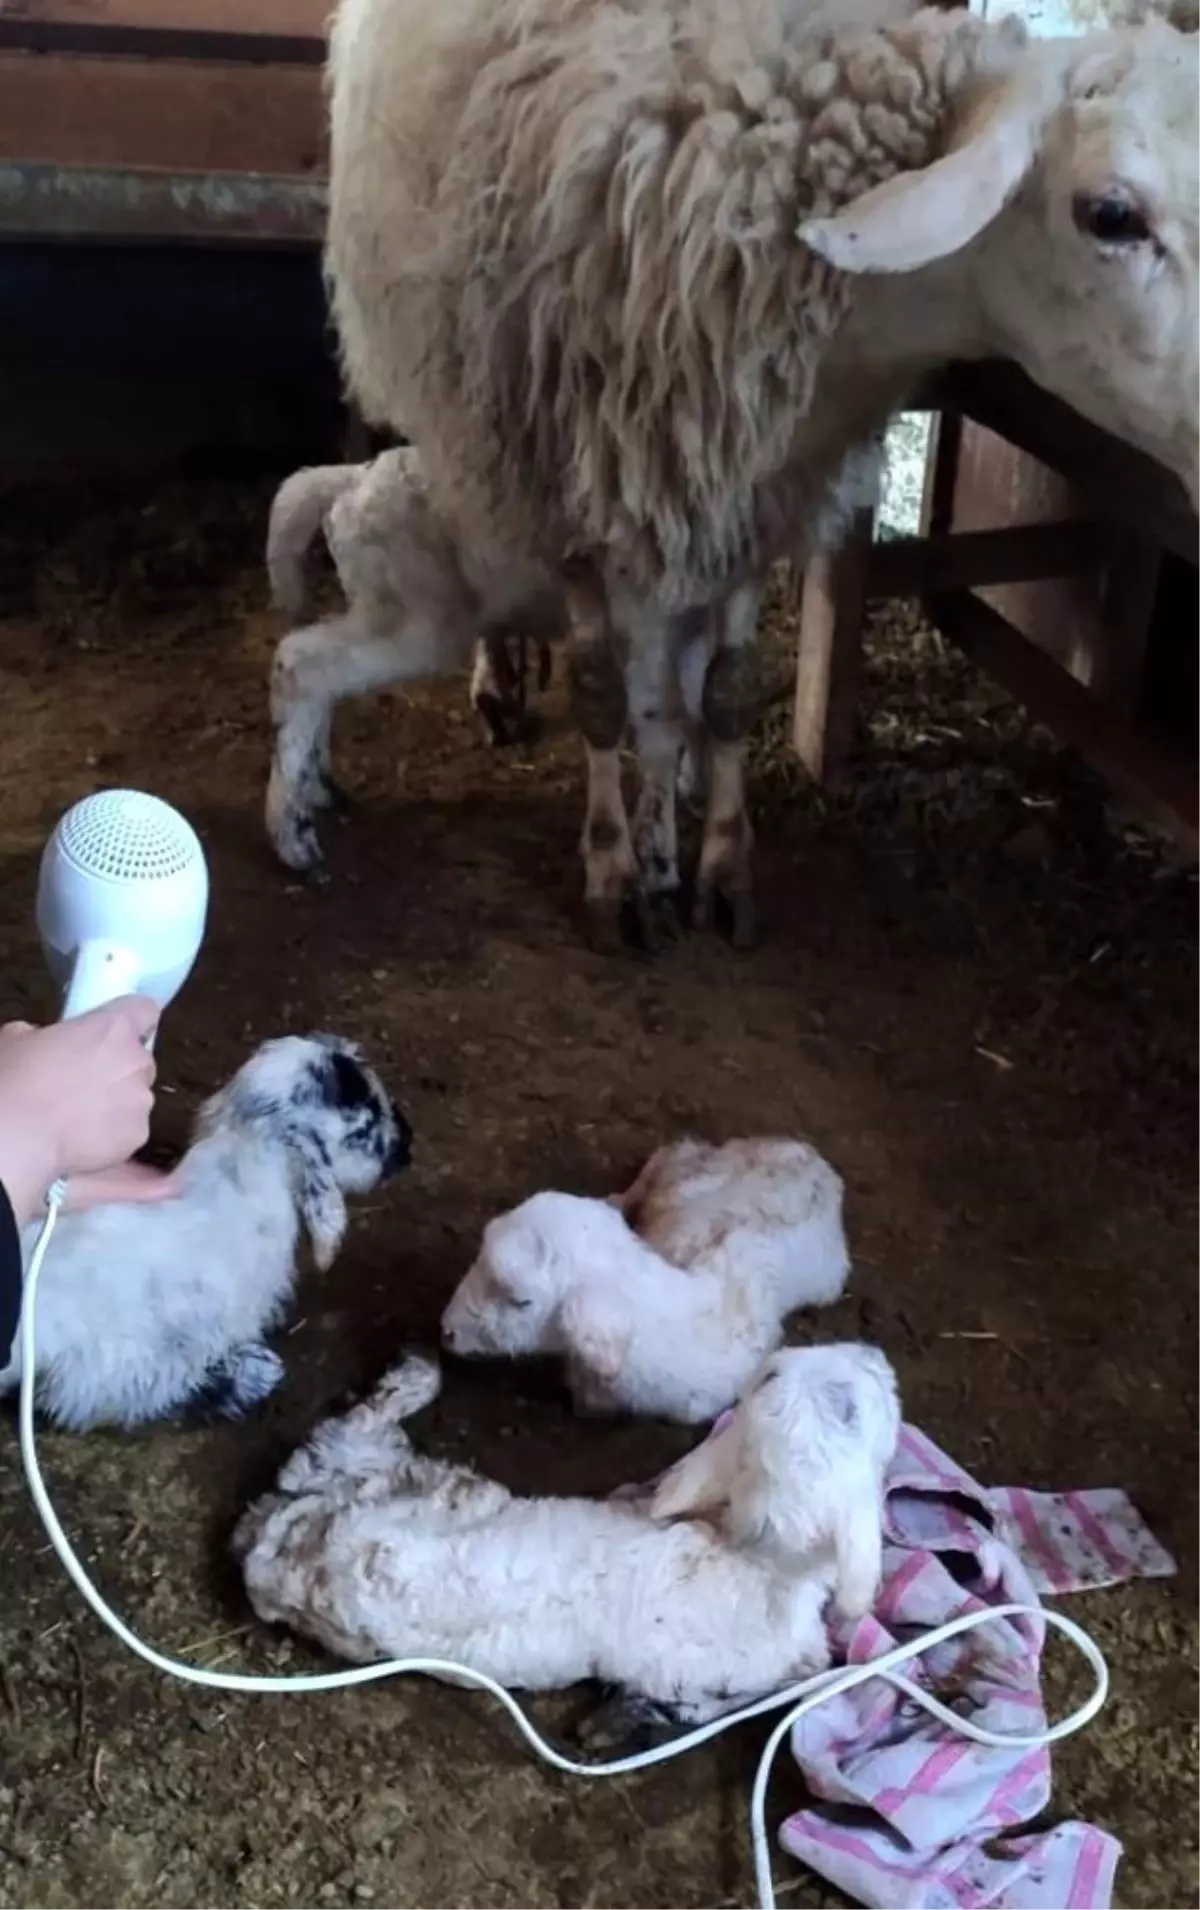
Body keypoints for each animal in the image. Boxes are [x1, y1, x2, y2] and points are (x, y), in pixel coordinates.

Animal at [232, 1337, 901, 1726]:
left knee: (315, 1458)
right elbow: (800, 1676)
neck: (762, 1556)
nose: (875, 1355)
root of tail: (281, 1553)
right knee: (348, 1430)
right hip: (414, 1476)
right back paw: (418, 1372)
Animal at [322, 0, 1200, 947]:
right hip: (465, 406)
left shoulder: (758, 481)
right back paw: (502, 682)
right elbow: (602, 695)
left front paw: (717, 865)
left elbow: (727, 692)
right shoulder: (572, 485)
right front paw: (616, 873)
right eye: (1109, 215)